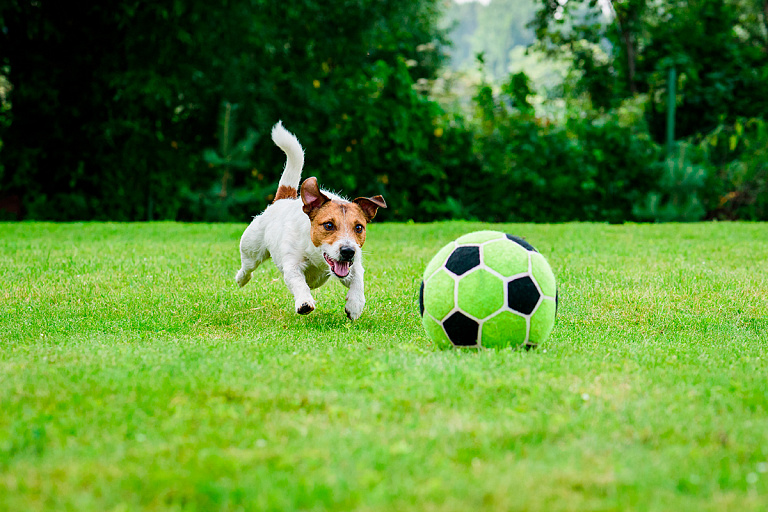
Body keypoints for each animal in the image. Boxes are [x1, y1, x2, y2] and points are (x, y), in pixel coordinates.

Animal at [234, 121, 388, 320]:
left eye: (359, 227)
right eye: (329, 225)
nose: (348, 251)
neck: (317, 255)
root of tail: (283, 200)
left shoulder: (352, 267)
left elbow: (358, 280)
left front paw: (355, 305)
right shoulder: (292, 265)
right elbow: (298, 281)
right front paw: (304, 302)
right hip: (251, 247)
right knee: (247, 266)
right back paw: (241, 278)